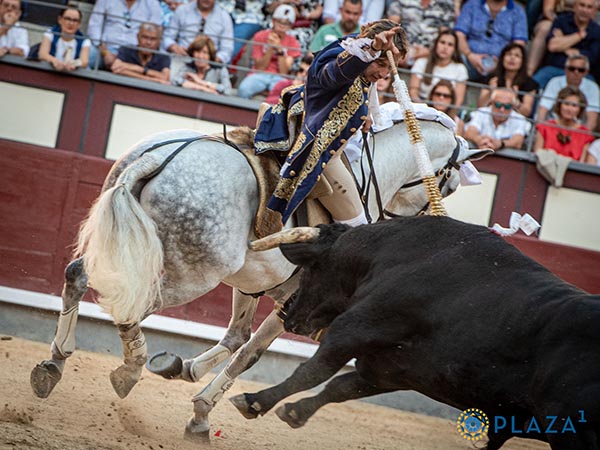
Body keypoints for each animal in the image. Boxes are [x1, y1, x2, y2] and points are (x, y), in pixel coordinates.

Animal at [27, 121, 488, 442]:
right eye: (448, 180)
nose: (425, 219)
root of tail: (162, 158)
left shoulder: (251, 285)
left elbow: (236, 337)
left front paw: (186, 370)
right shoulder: (295, 303)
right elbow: (250, 353)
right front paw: (200, 416)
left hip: (133, 250)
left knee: (77, 275)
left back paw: (53, 366)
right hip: (191, 273)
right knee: (131, 304)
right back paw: (127, 371)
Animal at [230, 216, 600, 448]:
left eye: (311, 268)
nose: (288, 314)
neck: (388, 255)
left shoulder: (355, 327)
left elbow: (312, 371)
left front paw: (255, 401)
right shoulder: (392, 369)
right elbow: (341, 387)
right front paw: (296, 412)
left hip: (568, 432)